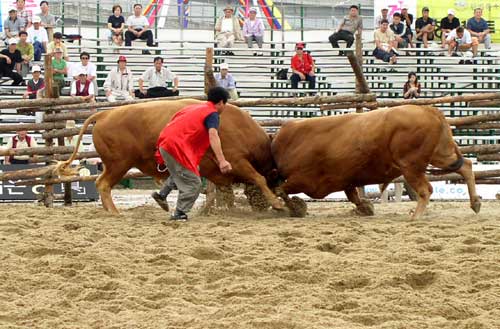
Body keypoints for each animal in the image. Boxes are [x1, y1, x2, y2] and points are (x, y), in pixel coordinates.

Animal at [58, 98, 282, 214]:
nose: (260, 207)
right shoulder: (236, 161)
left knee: (100, 183)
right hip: (119, 164)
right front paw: (276, 202)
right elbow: (258, 178)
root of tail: (104, 114)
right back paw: (114, 211)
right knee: (103, 184)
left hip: (113, 164)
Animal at [272, 105, 482, 218]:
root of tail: (427, 109)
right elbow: (353, 196)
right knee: (465, 166)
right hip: (440, 154)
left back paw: (416, 217)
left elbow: (281, 190)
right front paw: (365, 207)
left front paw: (292, 207)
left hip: (411, 166)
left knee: (425, 190)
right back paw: (475, 202)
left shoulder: (303, 179)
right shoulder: (345, 179)